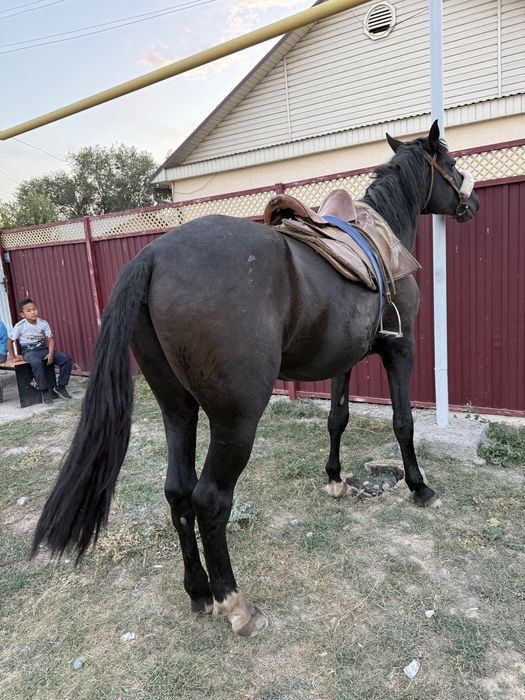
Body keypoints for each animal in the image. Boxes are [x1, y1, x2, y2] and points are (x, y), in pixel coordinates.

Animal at [33, 121, 479, 637]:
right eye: (451, 164)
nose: (472, 202)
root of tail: (153, 256)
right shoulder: (399, 352)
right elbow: (403, 423)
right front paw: (419, 487)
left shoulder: (343, 360)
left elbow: (338, 418)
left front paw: (335, 479)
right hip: (237, 420)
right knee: (209, 499)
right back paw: (234, 602)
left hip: (177, 409)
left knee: (178, 491)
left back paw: (199, 591)